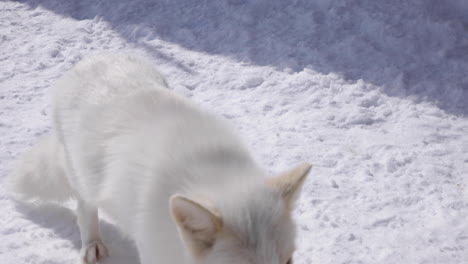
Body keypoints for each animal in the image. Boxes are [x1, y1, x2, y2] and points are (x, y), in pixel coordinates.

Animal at [11, 53, 310, 264]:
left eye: (288, 261)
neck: (213, 174)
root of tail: (94, 59)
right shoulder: (154, 249)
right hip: (82, 179)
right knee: (85, 211)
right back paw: (92, 243)